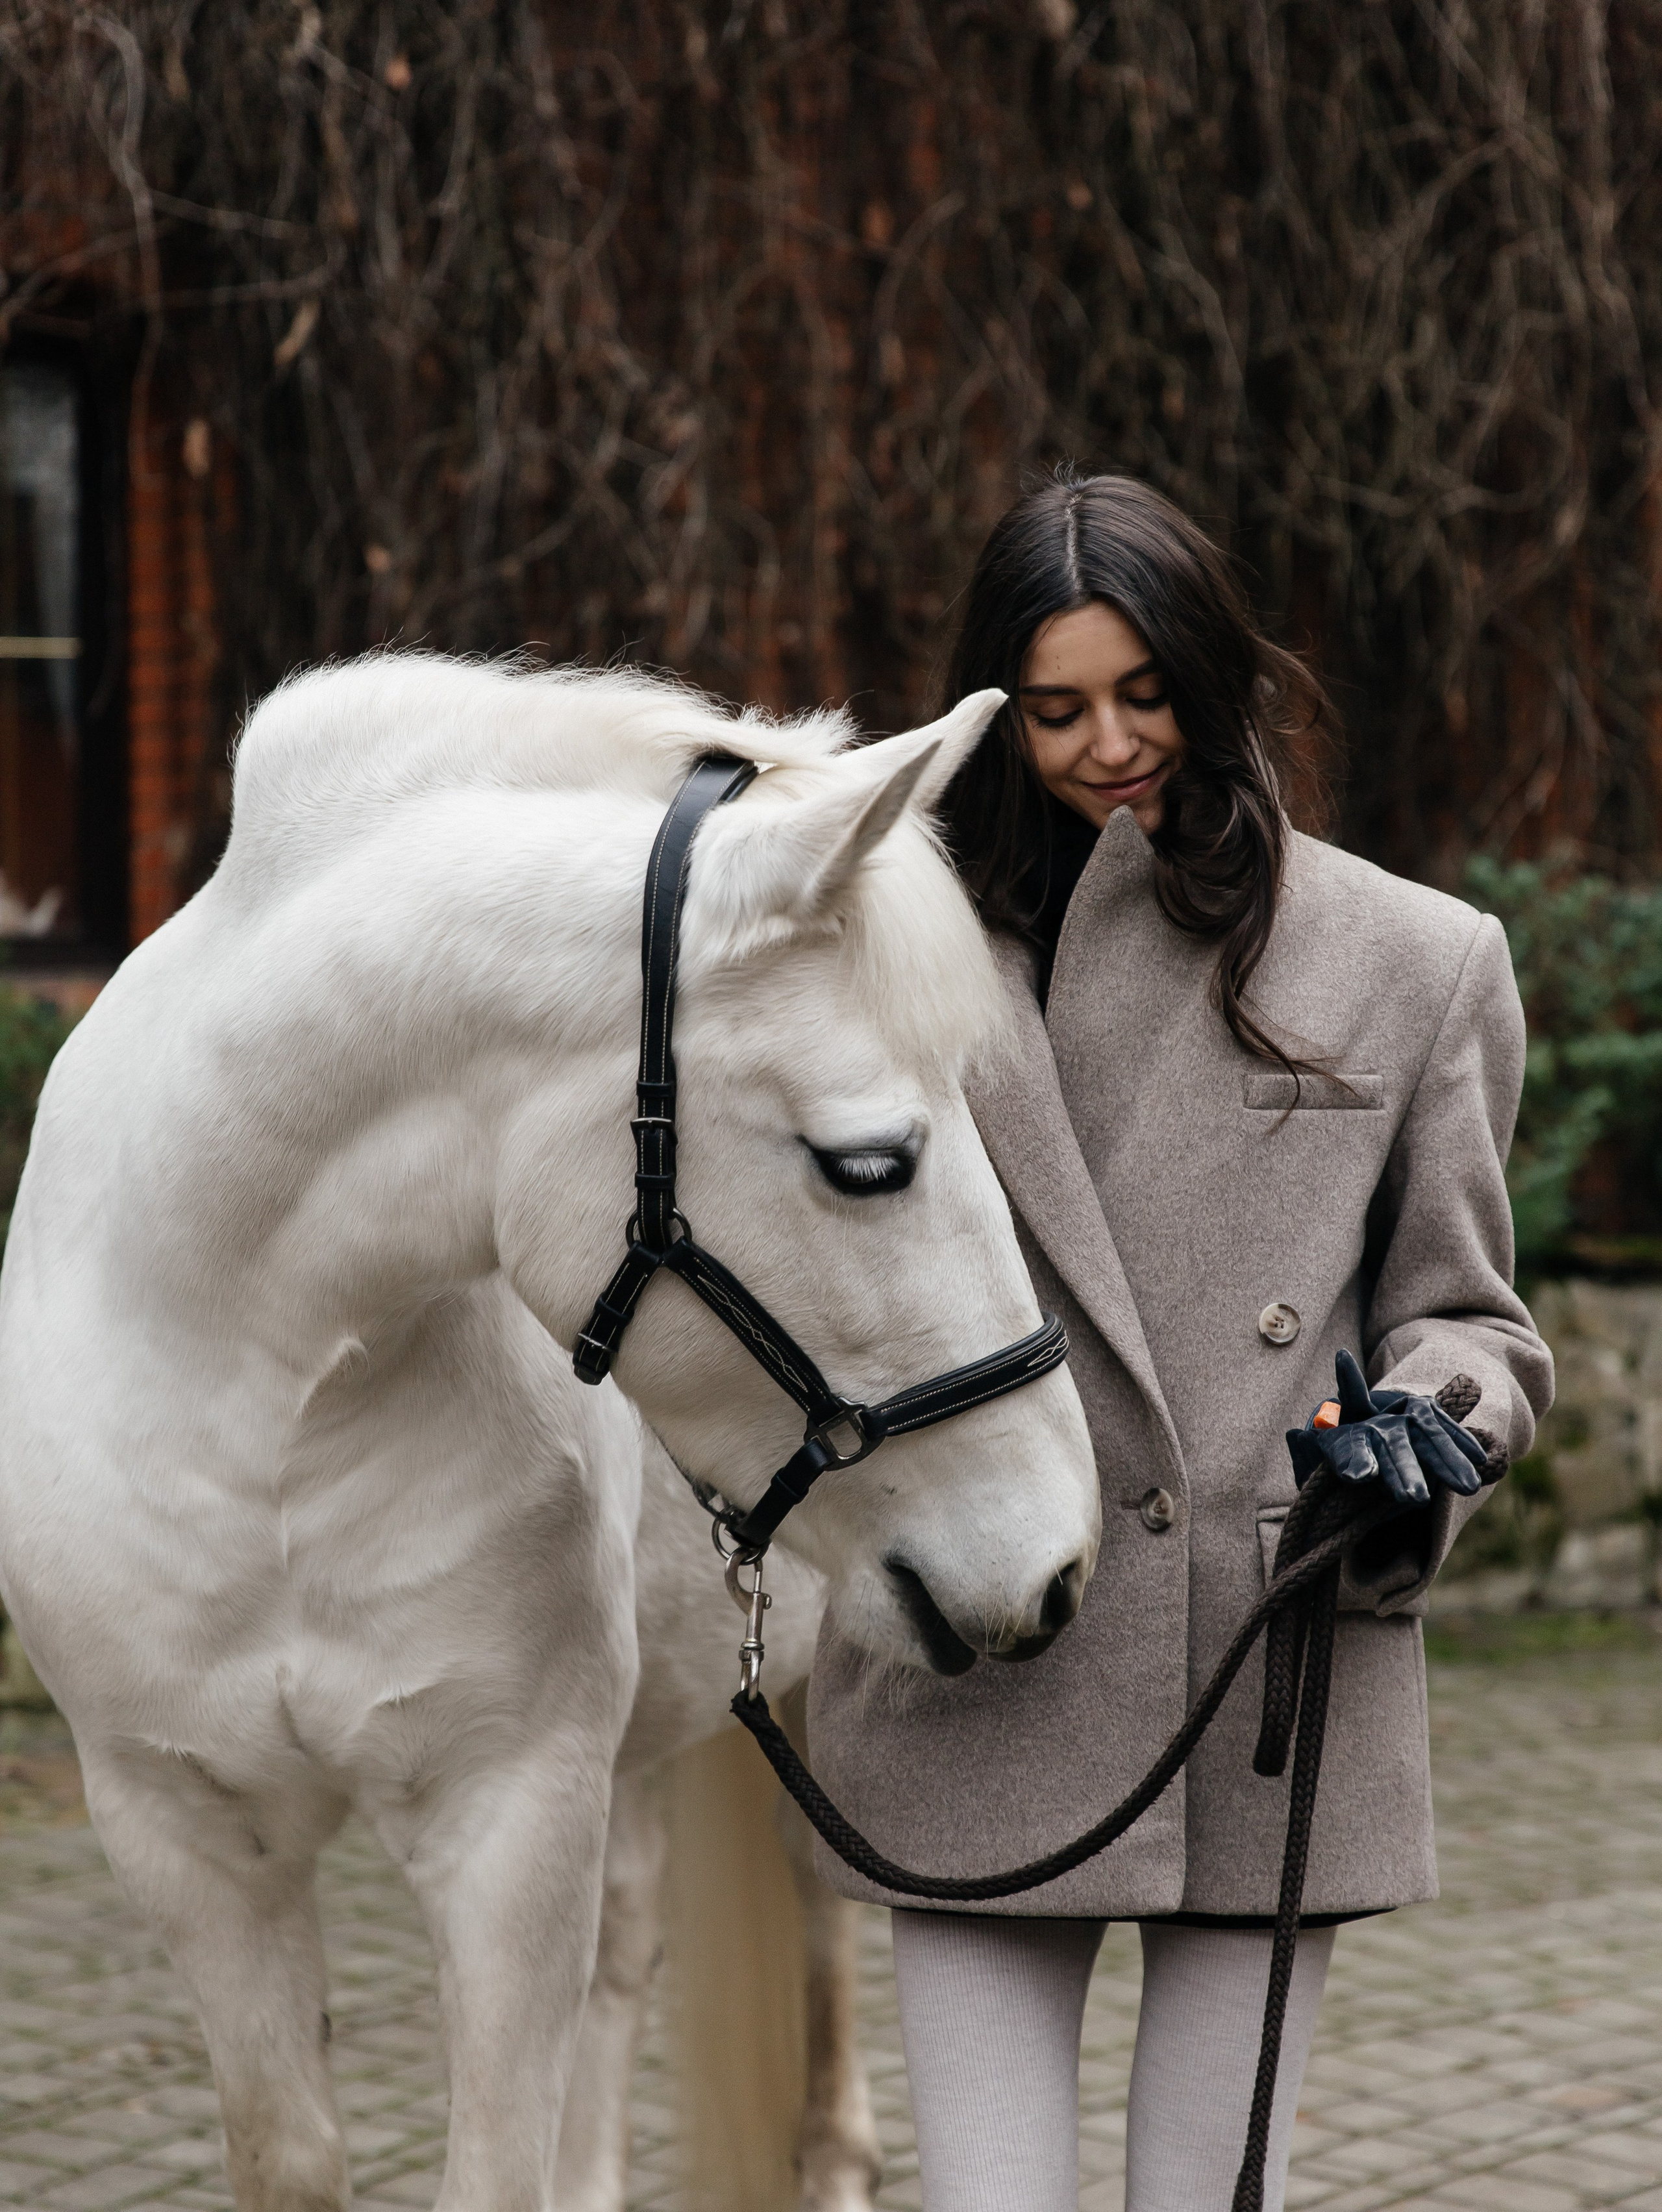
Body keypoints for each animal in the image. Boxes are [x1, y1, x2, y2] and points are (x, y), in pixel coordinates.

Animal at [0, 655, 1099, 2212]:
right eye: (869, 1163)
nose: (1057, 1564)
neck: (260, 1413)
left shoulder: (509, 1818)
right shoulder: (187, 1836)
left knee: (812, 1904)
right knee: (631, 1941)